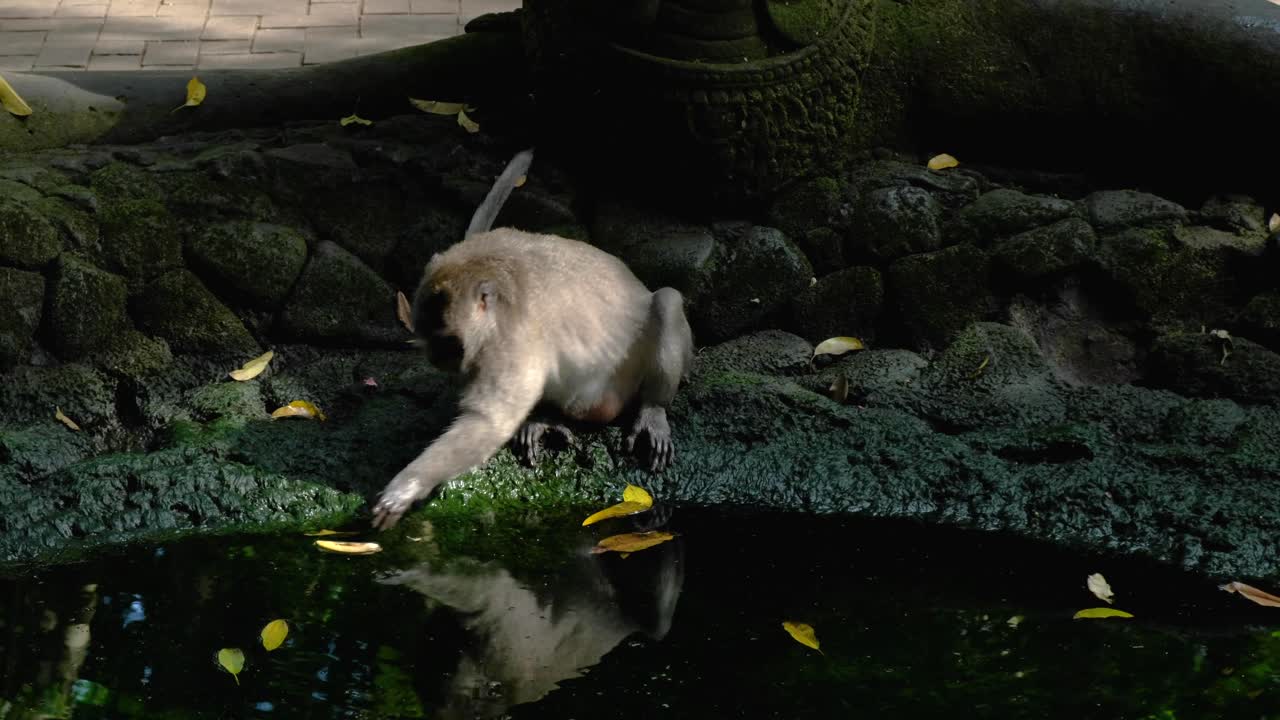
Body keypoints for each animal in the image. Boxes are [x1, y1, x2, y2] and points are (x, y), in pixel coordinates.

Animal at [371, 149, 695, 530]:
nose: (437, 360)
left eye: (447, 342)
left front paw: (406, 487)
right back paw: (544, 417)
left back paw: (652, 409)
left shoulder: (511, 340)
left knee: (667, 301)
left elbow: (489, 423)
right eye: (427, 341)